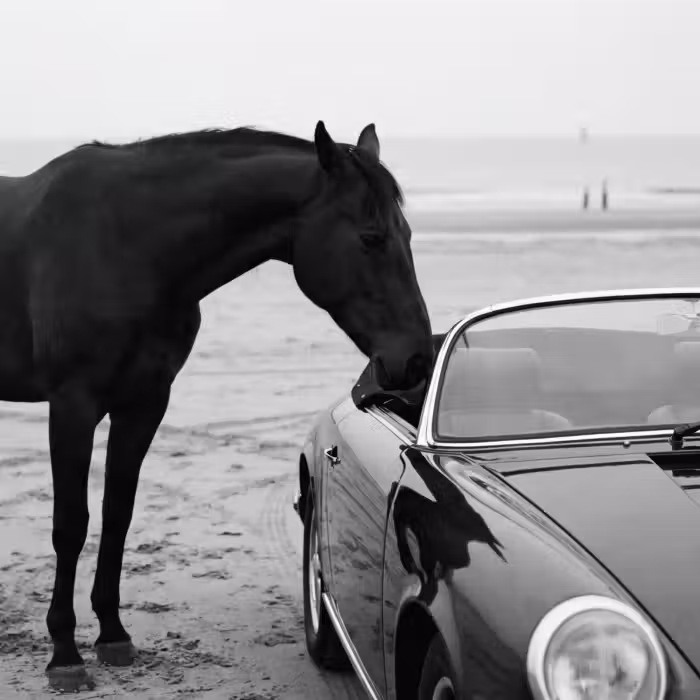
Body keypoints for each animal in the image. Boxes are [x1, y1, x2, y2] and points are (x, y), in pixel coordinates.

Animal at [0, 120, 433, 690]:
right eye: (371, 238)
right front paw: (65, 653)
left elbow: (117, 514)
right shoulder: (72, 404)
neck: (127, 244)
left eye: (407, 236)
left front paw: (112, 635)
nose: (417, 359)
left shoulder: (144, 403)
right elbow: (71, 524)